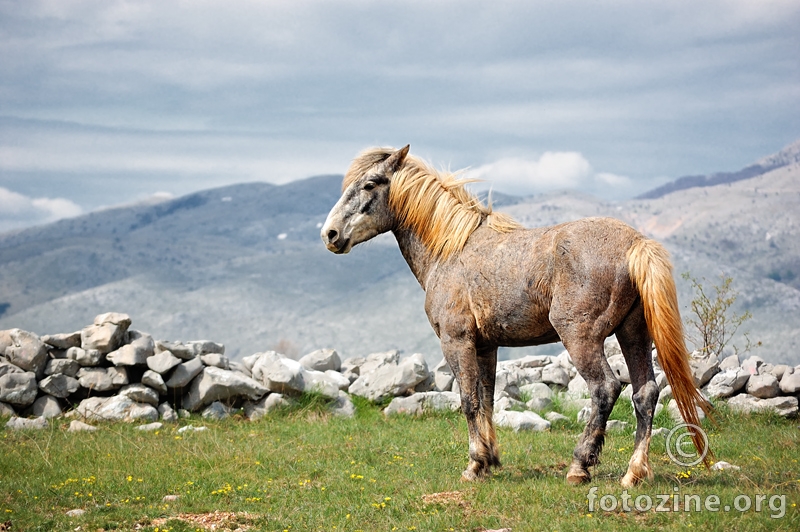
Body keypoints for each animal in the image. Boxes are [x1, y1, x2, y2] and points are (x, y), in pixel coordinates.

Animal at [320, 145, 712, 486]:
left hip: (581, 337)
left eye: (371, 183)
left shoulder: (456, 342)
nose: (330, 234)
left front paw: (474, 464)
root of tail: (635, 244)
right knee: (644, 393)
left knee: (606, 388)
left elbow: (468, 401)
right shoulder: (486, 347)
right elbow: (487, 399)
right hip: (633, 334)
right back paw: (633, 473)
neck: (451, 250)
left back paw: (579, 466)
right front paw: (489, 460)